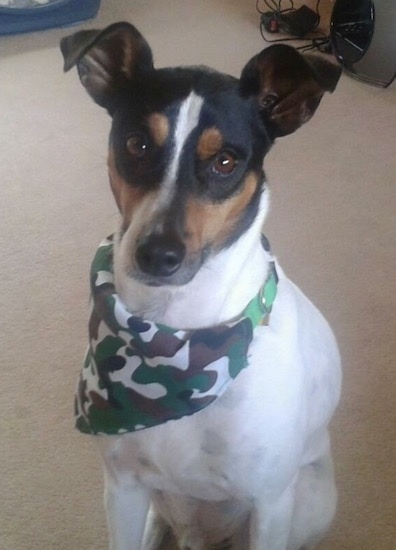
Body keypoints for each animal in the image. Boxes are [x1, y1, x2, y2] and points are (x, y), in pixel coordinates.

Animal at [60, 21, 342, 550]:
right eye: (136, 144)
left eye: (226, 162)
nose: (157, 254)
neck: (176, 331)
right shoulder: (123, 489)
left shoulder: (270, 506)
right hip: (157, 507)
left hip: (309, 501)